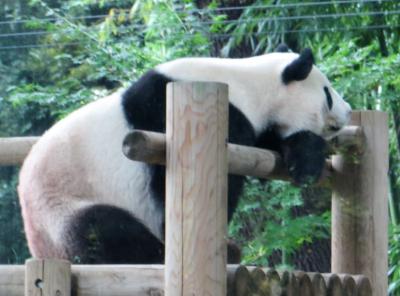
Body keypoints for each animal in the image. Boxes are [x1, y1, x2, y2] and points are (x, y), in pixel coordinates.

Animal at [18, 47, 350, 264]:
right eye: (327, 93)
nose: (348, 111)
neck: (245, 82)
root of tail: (39, 251)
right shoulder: (170, 114)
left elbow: (266, 150)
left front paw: (306, 160)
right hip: (60, 208)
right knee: (102, 230)